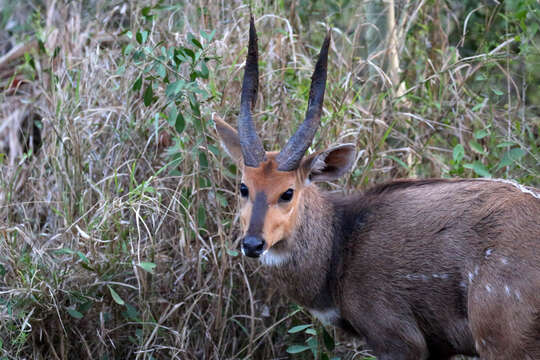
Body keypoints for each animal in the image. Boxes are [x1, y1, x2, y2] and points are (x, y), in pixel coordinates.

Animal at [213, 15, 540, 358]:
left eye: (287, 192)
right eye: (243, 187)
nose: (252, 244)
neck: (340, 249)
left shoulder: (395, 336)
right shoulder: (439, 347)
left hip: (502, 336)